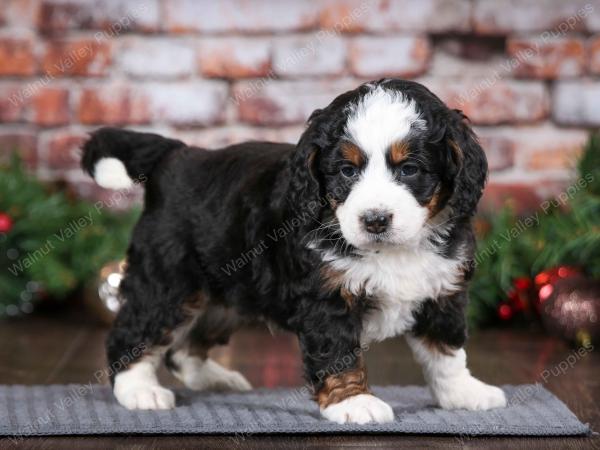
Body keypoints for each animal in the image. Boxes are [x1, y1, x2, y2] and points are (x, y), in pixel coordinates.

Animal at [83, 78, 506, 426]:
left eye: (410, 170)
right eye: (347, 171)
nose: (375, 220)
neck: (390, 250)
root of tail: (177, 157)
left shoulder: (443, 288)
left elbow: (446, 349)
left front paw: (463, 392)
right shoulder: (327, 297)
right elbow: (338, 352)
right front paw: (353, 402)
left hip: (229, 290)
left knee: (186, 347)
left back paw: (215, 379)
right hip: (168, 280)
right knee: (133, 332)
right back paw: (139, 390)